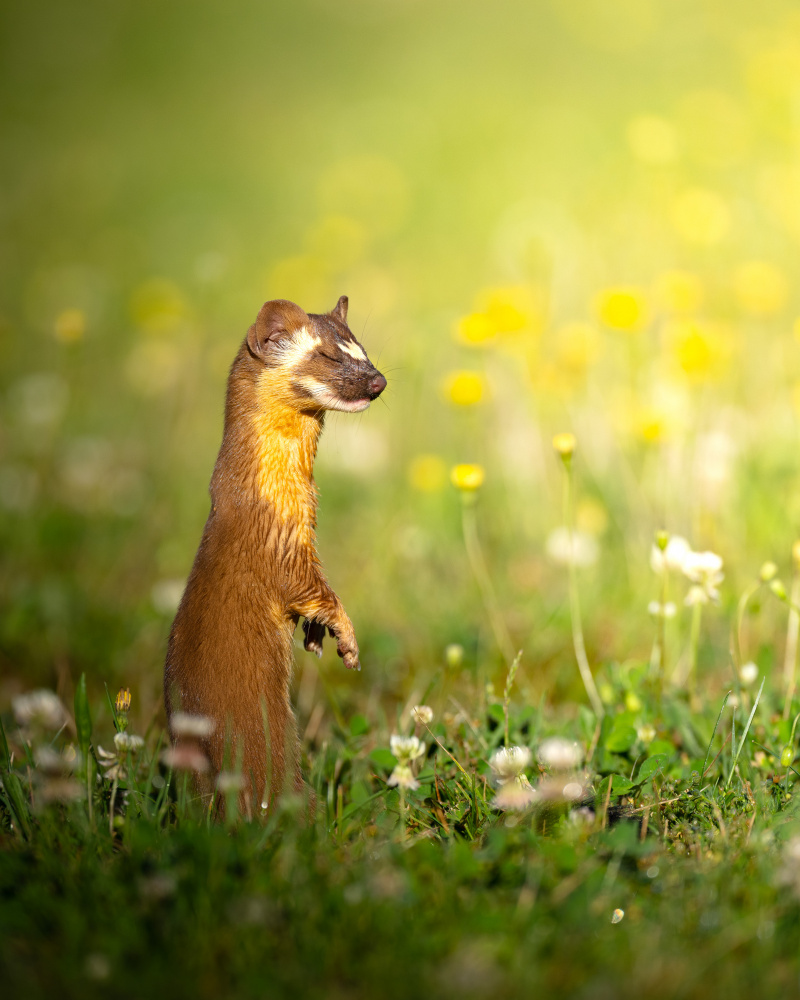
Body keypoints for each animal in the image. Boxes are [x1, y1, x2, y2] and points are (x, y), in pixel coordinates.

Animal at [164, 294, 386, 812]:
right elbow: (313, 591)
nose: (379, 381)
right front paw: (346, 639)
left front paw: (316, 636)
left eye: (363, 348)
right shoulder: (281, 545)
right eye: (328, 356)